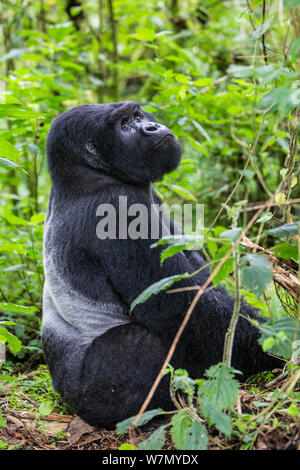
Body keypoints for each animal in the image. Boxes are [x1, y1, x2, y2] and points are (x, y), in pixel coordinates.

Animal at [41, 101, 282, 428]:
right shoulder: (120, 208)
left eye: (138, 115)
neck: (84, 176)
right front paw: (279, 345)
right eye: (124, 125)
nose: (152, 127)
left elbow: (198, 273)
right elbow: (184, 310)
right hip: (90, 393)